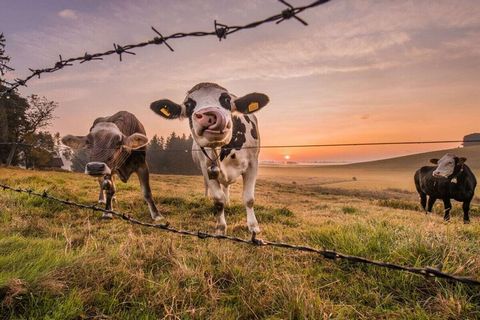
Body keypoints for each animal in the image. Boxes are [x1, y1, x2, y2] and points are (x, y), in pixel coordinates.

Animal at [150, 81, 270, 234]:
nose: (210, 115)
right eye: (188, 104)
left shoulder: (252, 164)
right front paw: (220, 228)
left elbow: (249, 198)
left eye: (226, 99)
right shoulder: (206, 167)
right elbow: (218, 199)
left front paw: (254, 227)